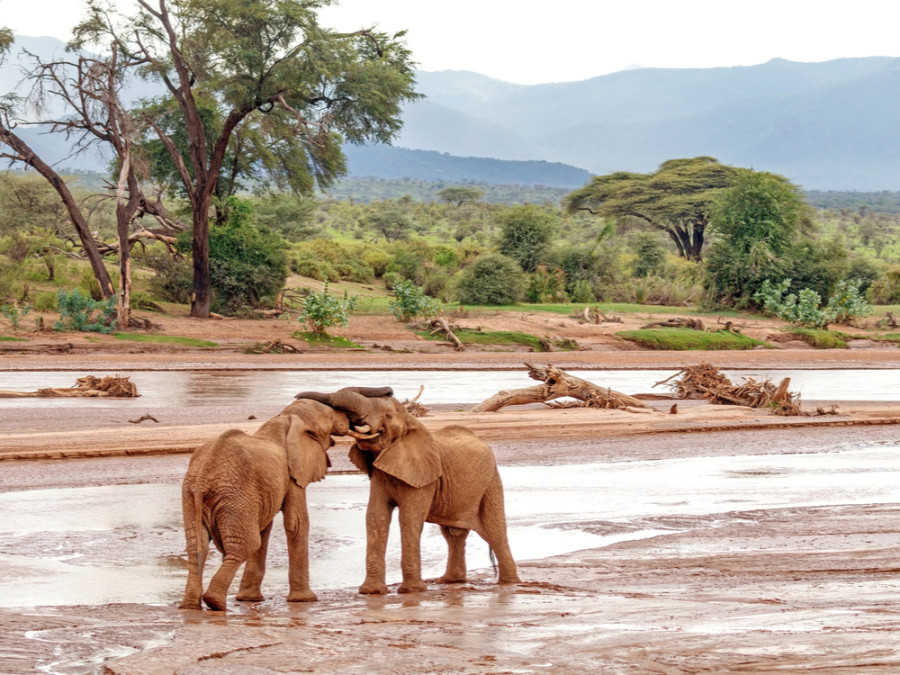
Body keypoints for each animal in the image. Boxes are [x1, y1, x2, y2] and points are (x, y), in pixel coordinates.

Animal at [178, 396, 384, 612]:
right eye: (329, 417)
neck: (286, 417)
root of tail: (203, 479)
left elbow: (266, 528)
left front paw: (250, 599)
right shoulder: (292, 473)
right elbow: (297, 523)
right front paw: (305, 600)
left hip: (194, 496)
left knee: (197, 546)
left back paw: (190, 606)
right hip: (234, 496)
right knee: (245, 545)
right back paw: (215, 602)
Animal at [296, 388, 520, 596]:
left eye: (388, 416)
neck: (410, 422)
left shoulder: (424, 477)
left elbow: (409, 518)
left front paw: (411, 591)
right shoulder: (380, 475)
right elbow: (376, 517)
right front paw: (371, 592)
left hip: (491, 482)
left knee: (495, 530)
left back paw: (509, 583)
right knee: (453, 534)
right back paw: (450, 581)